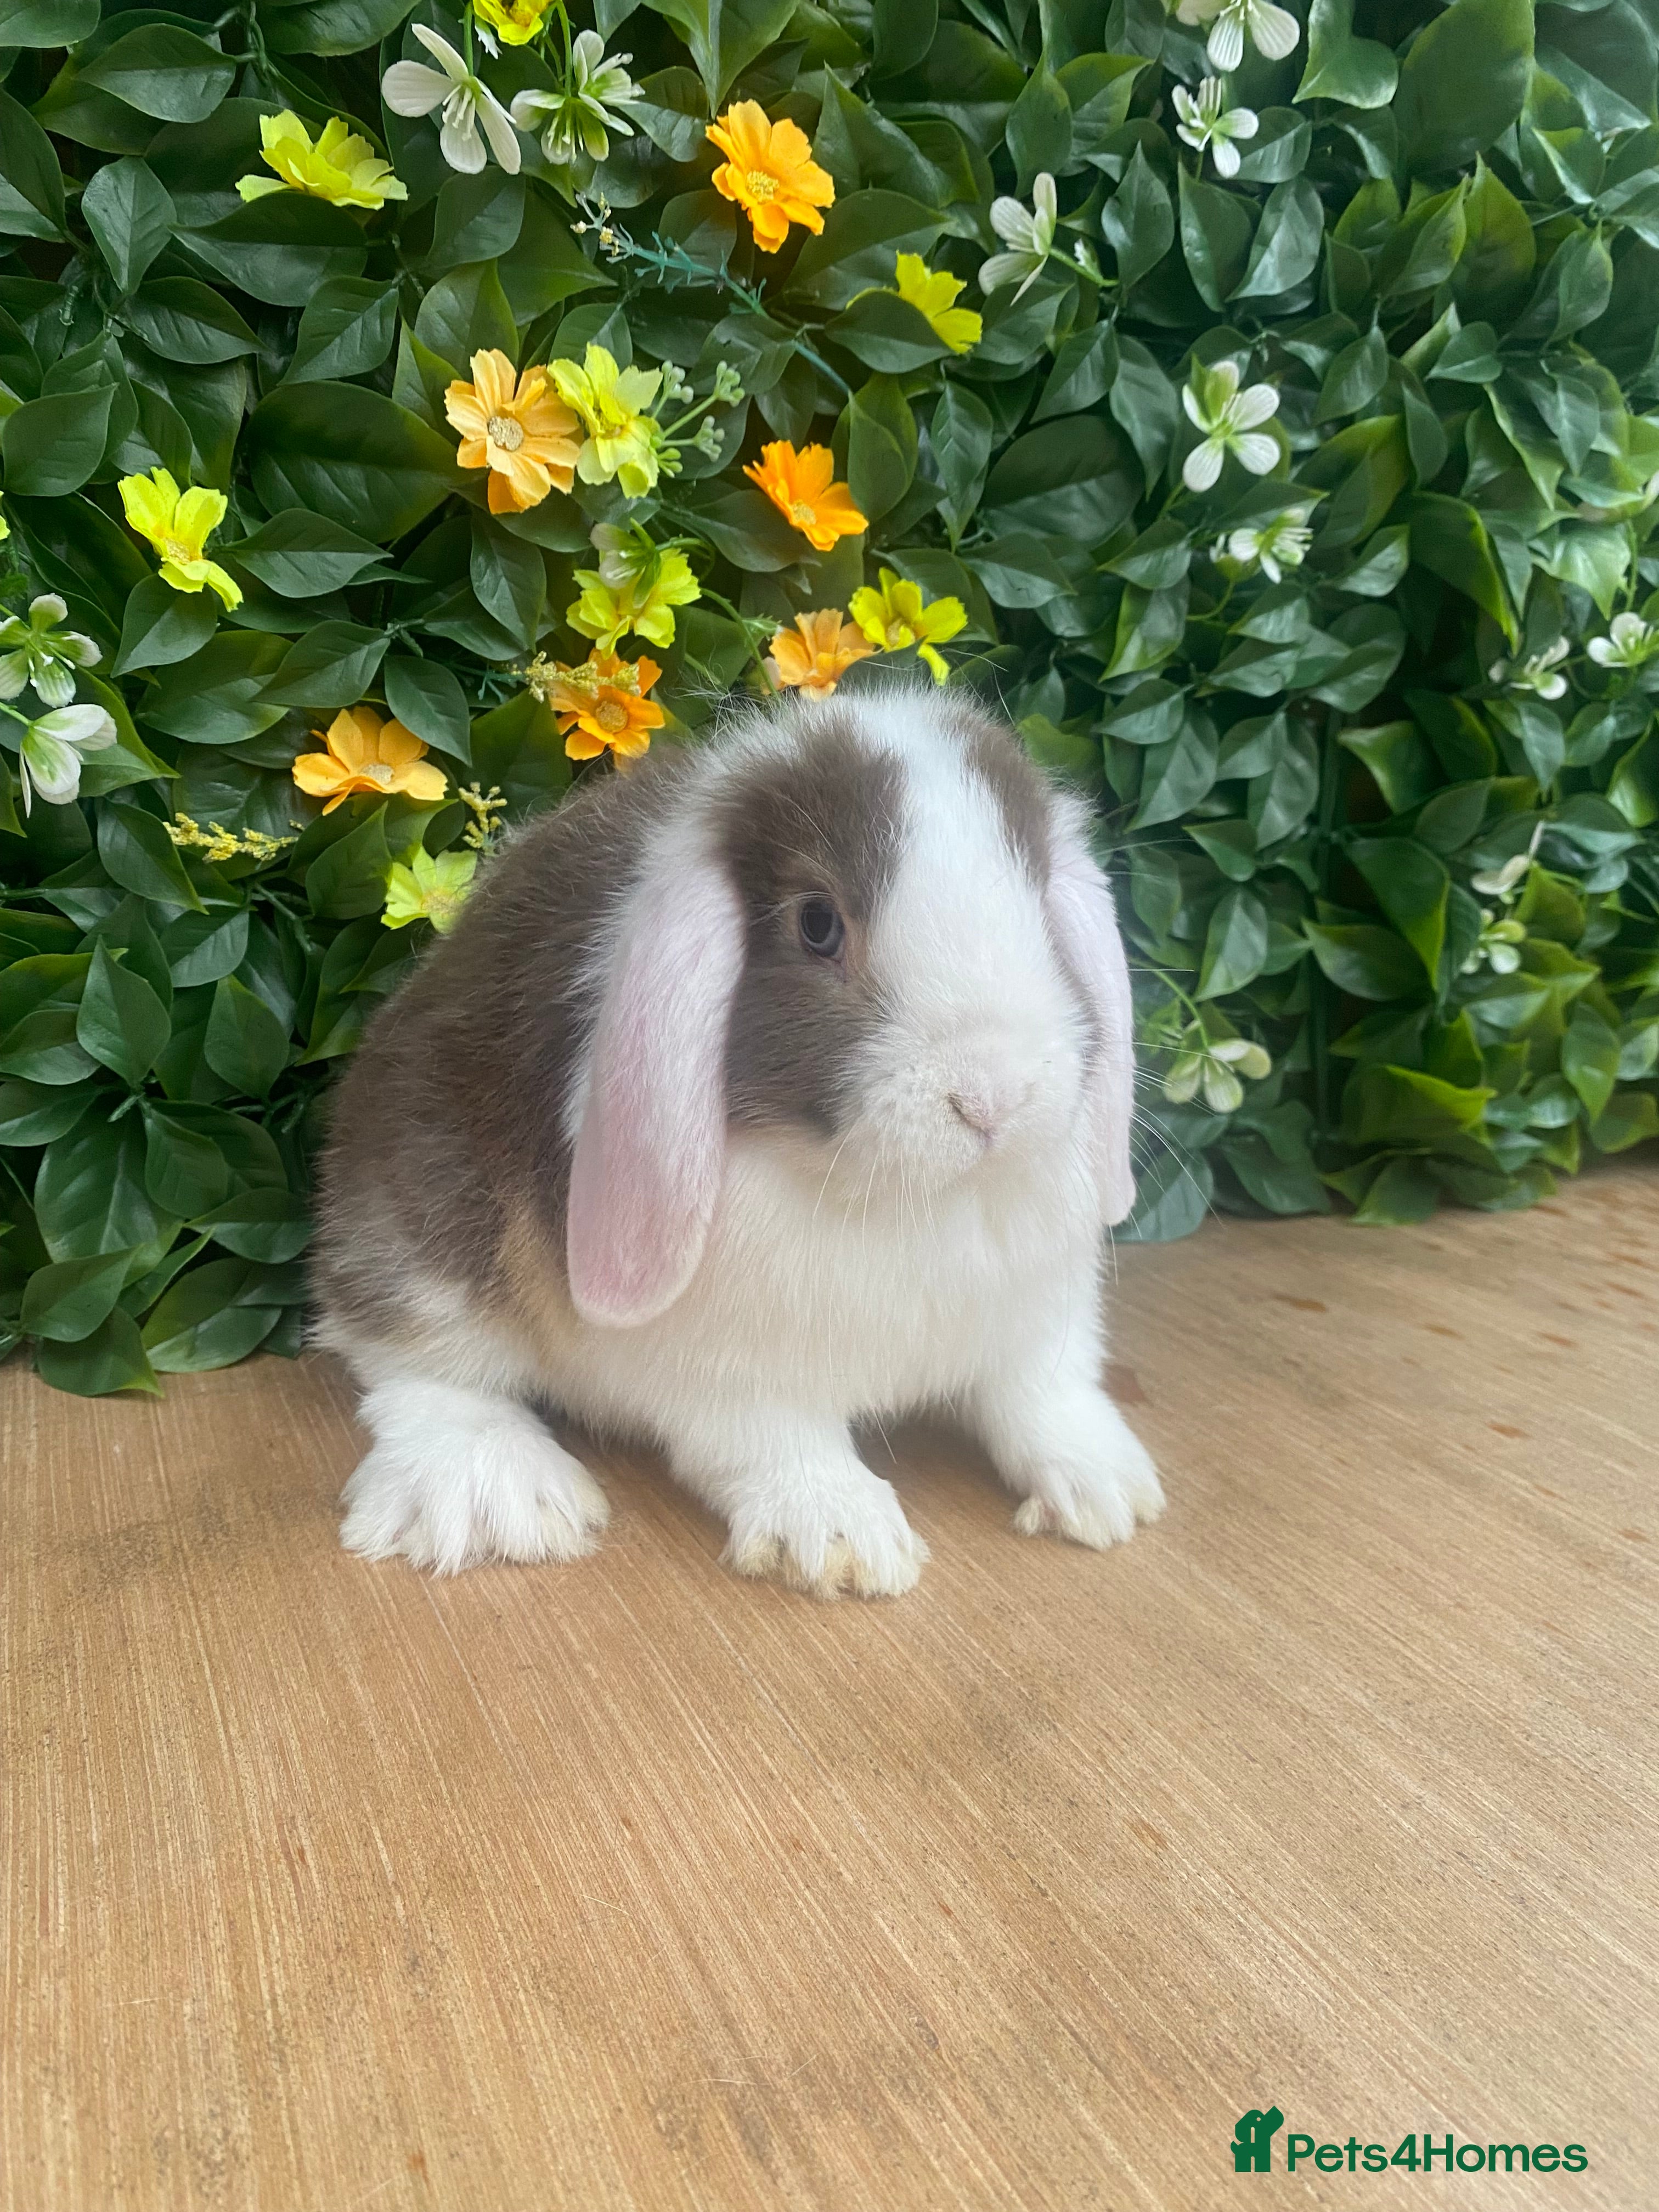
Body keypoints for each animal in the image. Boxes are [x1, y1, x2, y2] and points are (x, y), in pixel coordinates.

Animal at [311, 684, 1163, 1595]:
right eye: (818, 924)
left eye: (1039, 900)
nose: (992, 1095)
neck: (913, 1196)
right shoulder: (735, 1382)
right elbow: (782, 1447)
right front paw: (843, 1540)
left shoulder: (1041, 1318)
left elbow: (1046, 1399)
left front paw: (1110, 1491)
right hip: (417, 1226)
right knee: (415, 1367)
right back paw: (498, 1499)